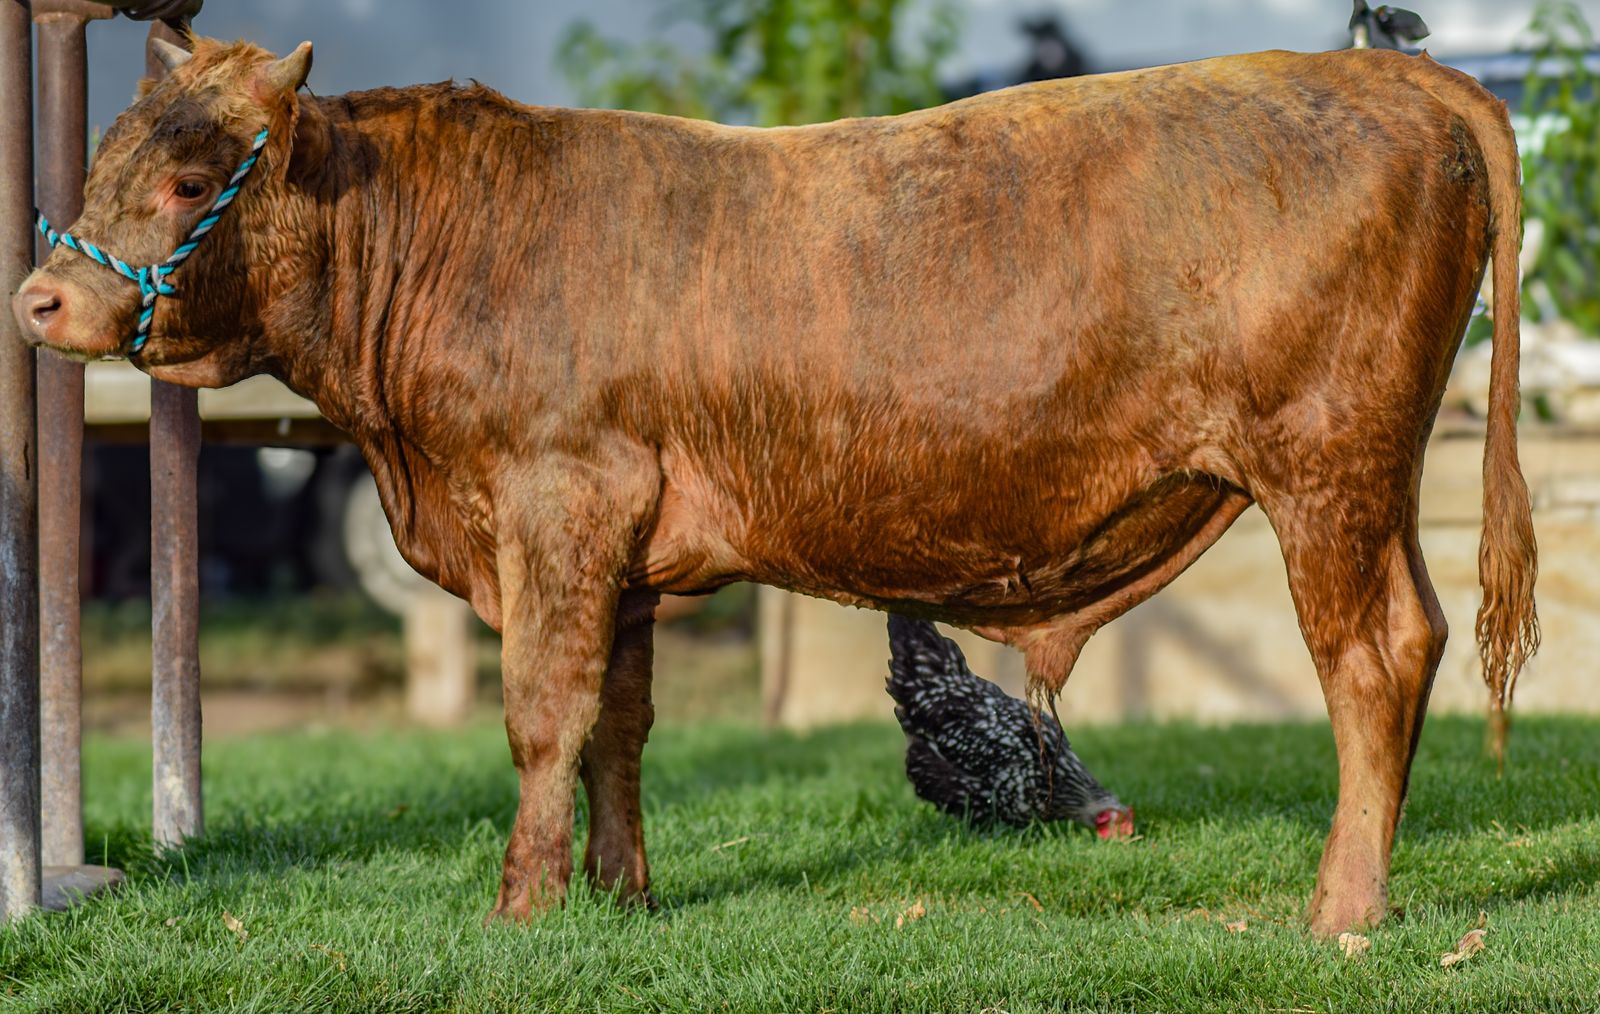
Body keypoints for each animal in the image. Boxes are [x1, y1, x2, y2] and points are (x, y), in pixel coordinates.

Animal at [12, 37, 1536, 938]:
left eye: (193, 175)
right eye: (103, 154)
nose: (40, 300)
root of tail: (1381, 74)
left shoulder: (558, 503)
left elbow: (543, 716)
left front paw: (522, 911)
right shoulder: (619, 550)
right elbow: (619, 724)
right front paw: (620, 897)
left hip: (1324, 472)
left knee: (1371, 658)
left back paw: (1343, 910)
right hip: (1373, 481)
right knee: (1410, 644)